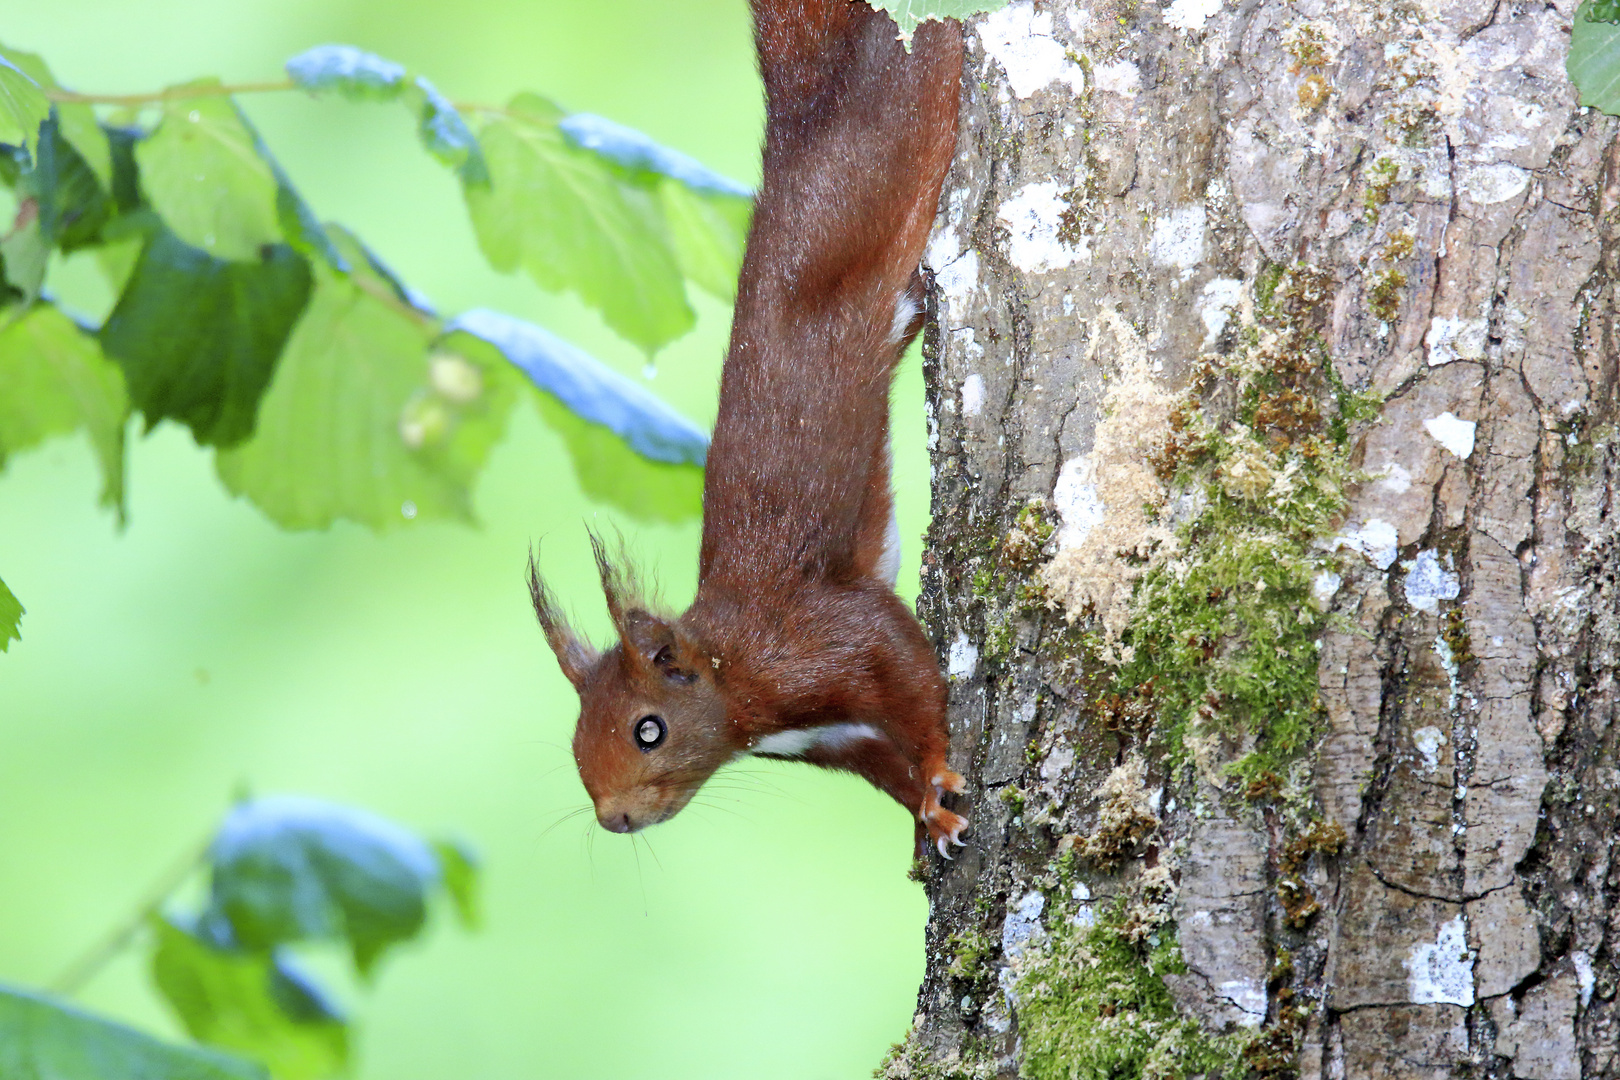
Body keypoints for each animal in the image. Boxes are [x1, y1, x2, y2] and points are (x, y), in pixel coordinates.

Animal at [524, 0, 965, 861]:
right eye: (574, 741)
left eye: (649, 730)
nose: (616, 818)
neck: (732, 674)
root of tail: (799, 120)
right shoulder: (837, 738)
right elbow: (884, 764)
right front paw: (927, 813)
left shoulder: (827, 639)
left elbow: (912, 675)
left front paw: (937, 776)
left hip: (905, 125)